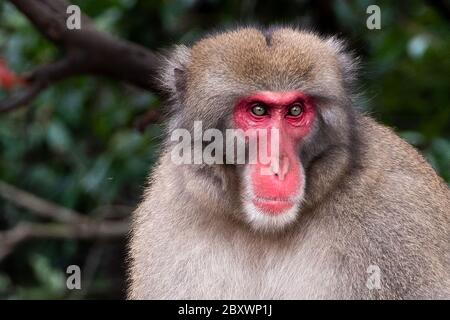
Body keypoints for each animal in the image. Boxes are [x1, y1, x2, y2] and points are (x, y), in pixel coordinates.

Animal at [127, 26, 450, 298]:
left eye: (295, 110)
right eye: (258, 110)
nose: (278, 167)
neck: (264, 231)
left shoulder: (394, 219)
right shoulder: (169, 210)